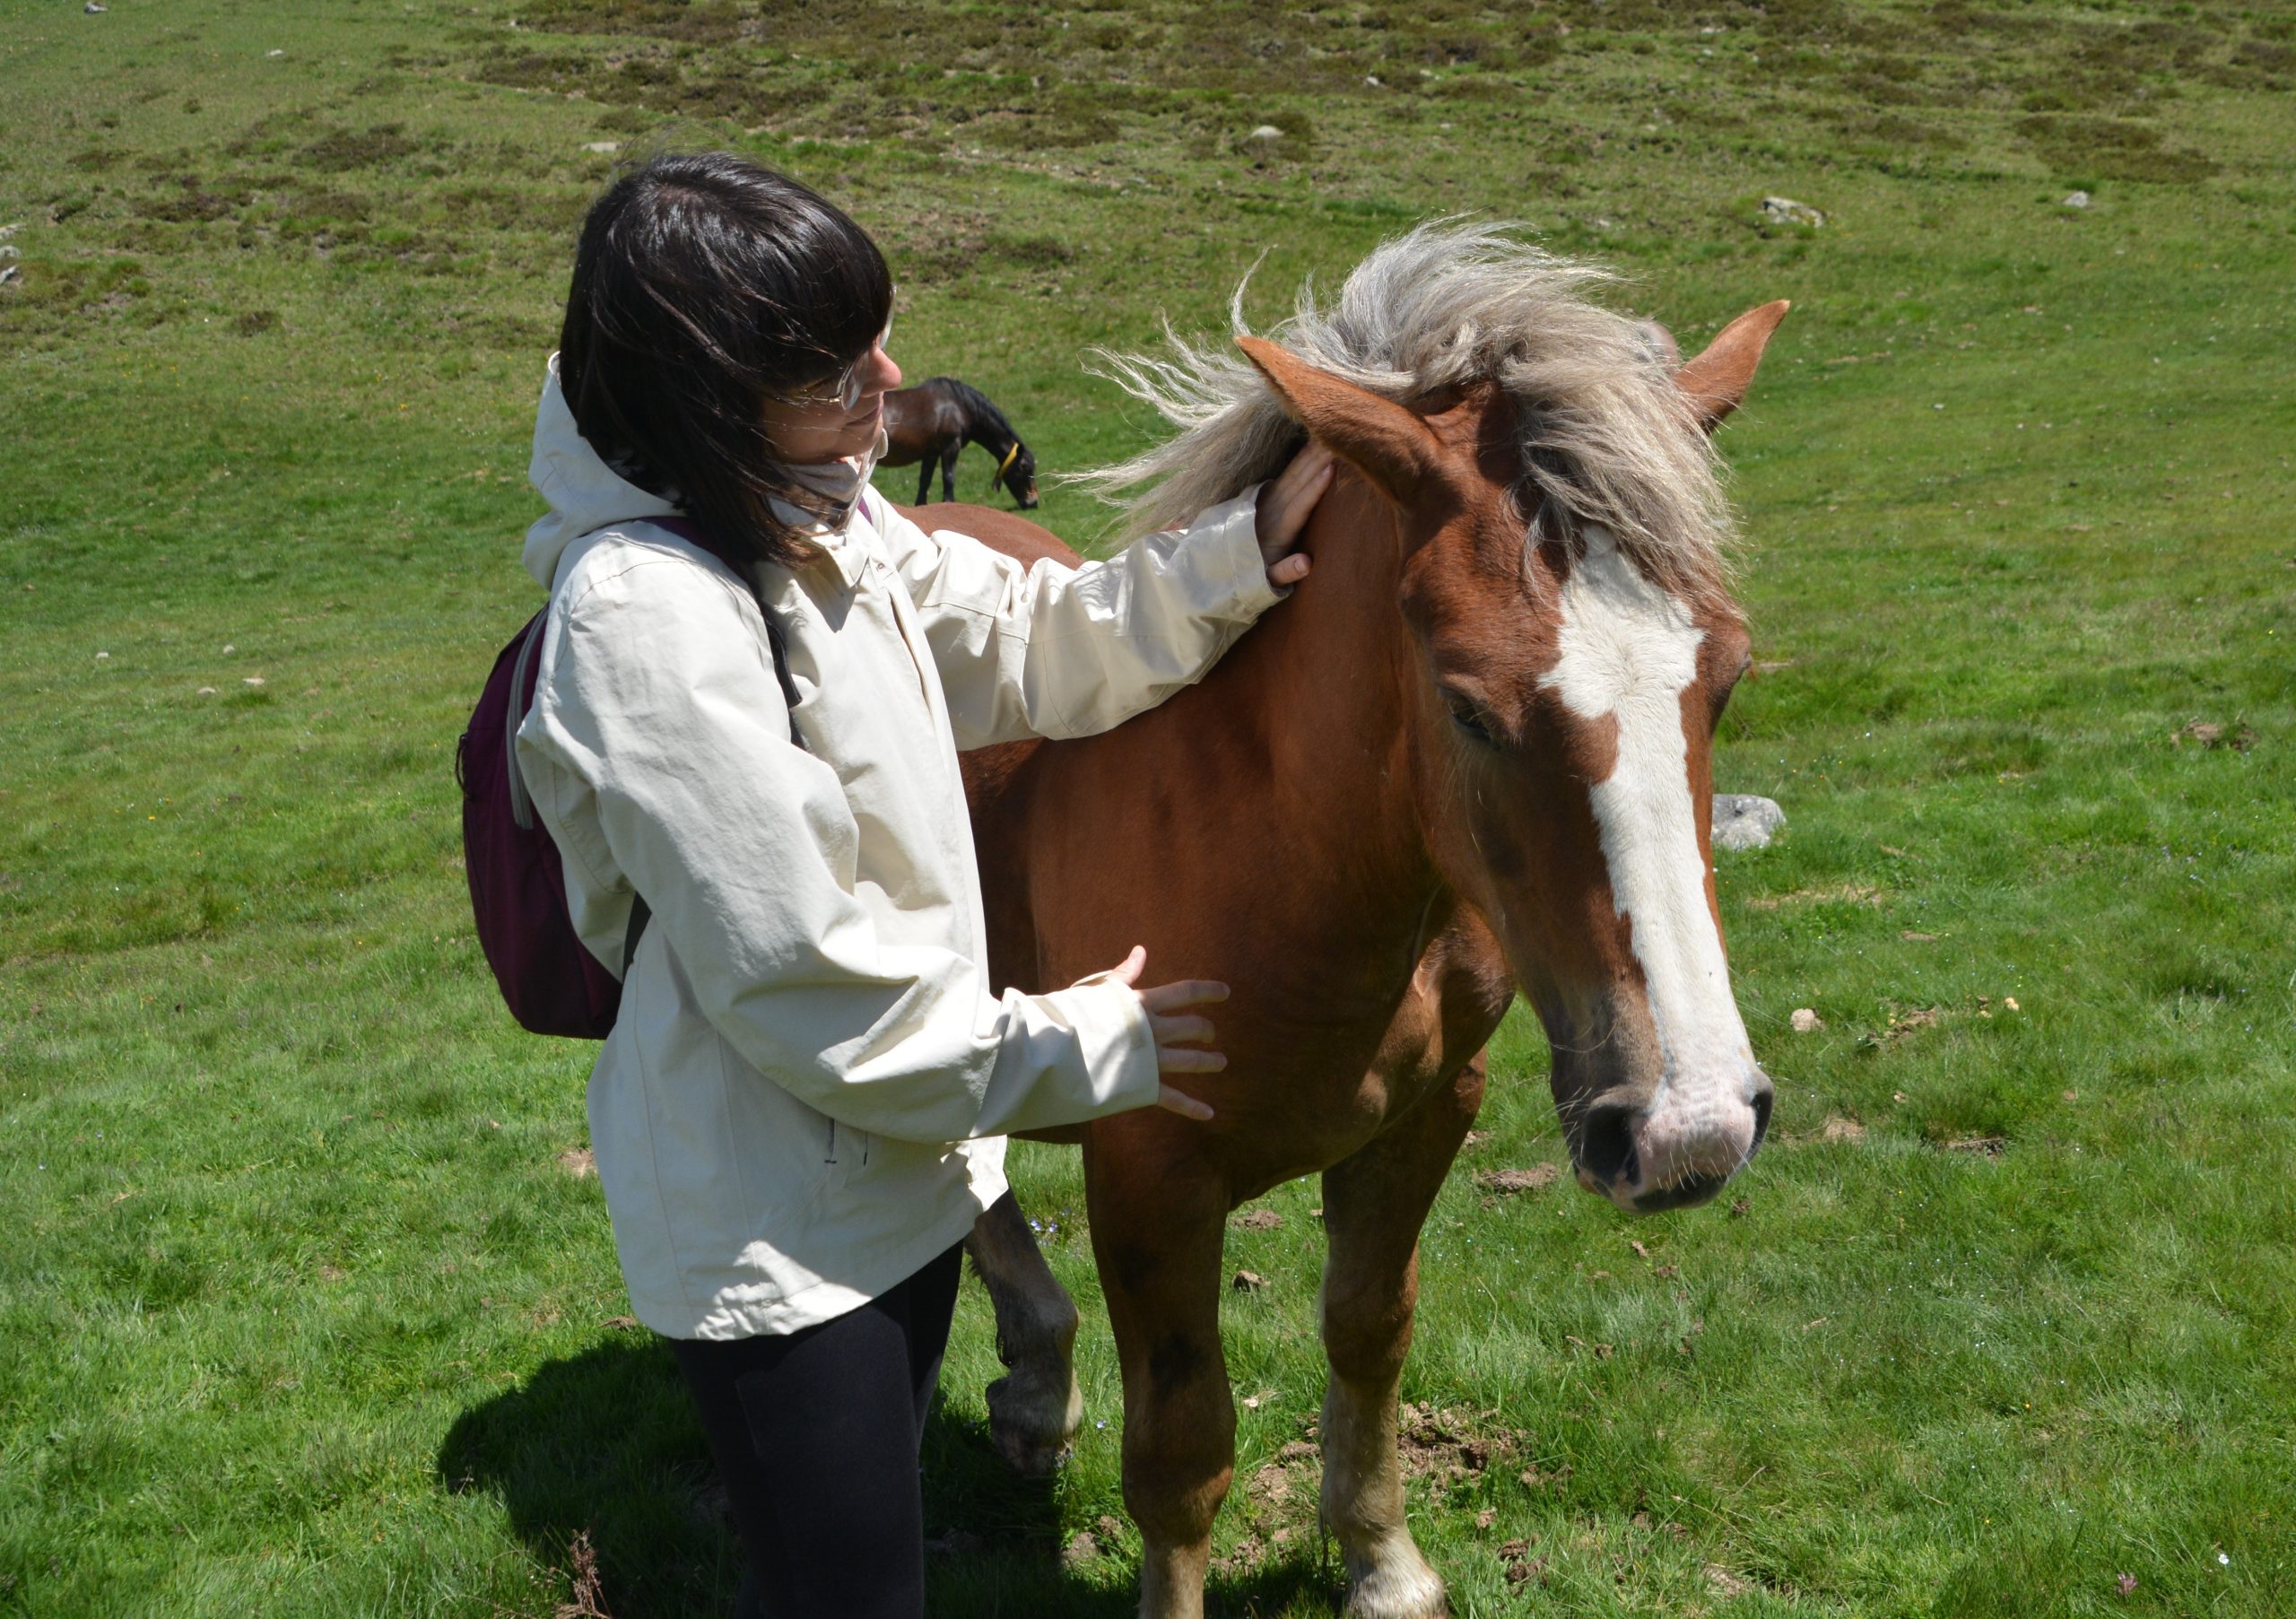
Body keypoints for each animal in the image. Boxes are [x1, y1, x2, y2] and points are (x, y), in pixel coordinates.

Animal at [876, 376, 1042, 507]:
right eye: (1025, 467)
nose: (1032, 502)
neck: (960, 406)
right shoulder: (950, 446)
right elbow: (949, 478)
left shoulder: (931, 453)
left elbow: (924, 482)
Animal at [941, 223, 1781, 1616]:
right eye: (1468, 706)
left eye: (1724, 673)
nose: (1688, 1129)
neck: (1295, 870)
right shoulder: (1150, 1176)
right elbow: (1182, 1447)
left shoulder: (1424, 1118)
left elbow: (1370, 1334)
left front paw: (1384, 1564)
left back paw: (1037, 1374)